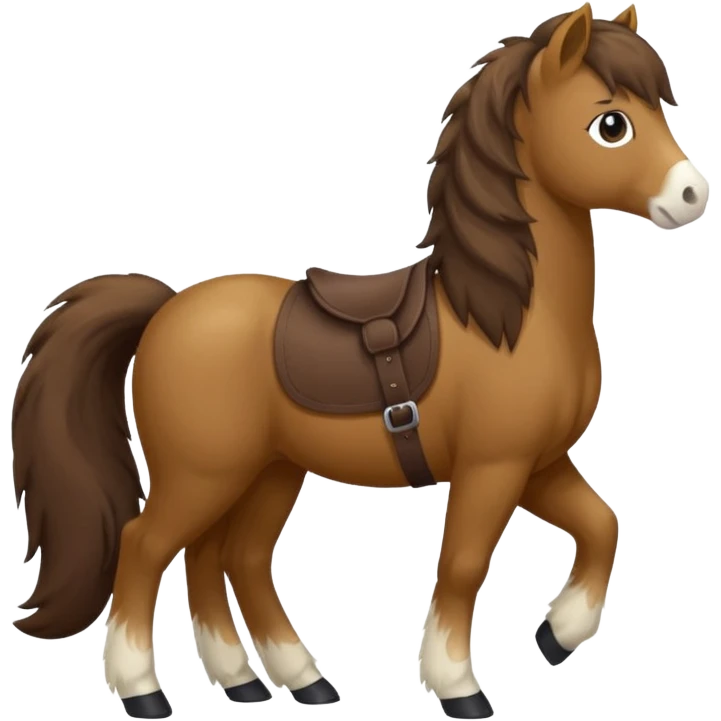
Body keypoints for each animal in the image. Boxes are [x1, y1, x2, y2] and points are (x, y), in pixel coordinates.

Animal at [10, 4, 709, 719]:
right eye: (611, 124)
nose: (692, 193)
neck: (507, 319)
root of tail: (167, 308)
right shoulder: (493, 466)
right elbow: (463, 564)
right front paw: (459, 687)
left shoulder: (537, 464)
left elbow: (602, 524)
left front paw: (558, 635)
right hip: (201, 473)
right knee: (147, 547)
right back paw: (144, 692)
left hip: (267, 471)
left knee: (228, 559)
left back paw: (274, 682)